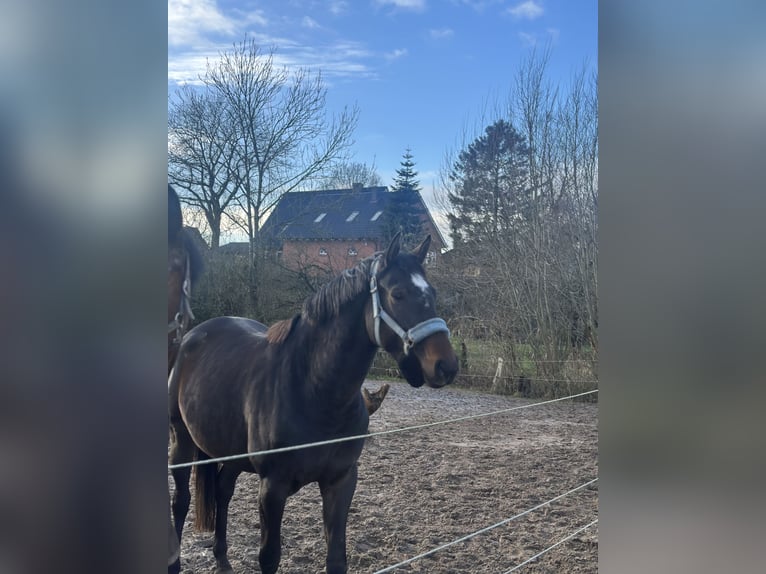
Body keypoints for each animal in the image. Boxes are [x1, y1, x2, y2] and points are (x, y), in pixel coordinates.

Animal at [170, 234, 456, 574]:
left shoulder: (341, 481)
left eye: (433, 293)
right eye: (397, 294)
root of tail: (193, 335)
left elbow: (336, 559)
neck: (315, 391)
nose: (446, 366)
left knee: (223, 491)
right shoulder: (273, 488)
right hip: (182, 442)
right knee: (181, 501)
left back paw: (223, 559)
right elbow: (269, 557)